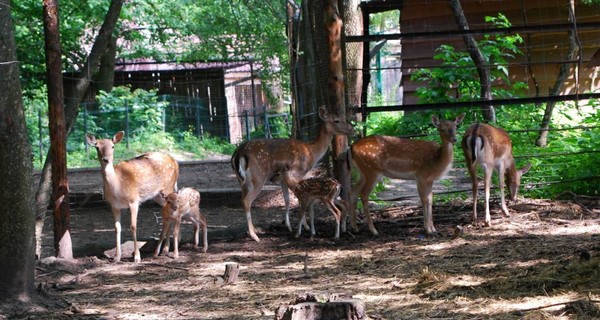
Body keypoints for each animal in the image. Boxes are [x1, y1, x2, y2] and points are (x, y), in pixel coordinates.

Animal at [85, 131, 178, 262]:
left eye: (112, 146)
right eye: (97, 147)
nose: (106, 159)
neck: (117, 187)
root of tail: (175, 161)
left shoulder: (134, 200)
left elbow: (133, 226)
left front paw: (137, 257)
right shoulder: (114, 205)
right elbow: (117, 228)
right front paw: (116, 257)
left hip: (168, 188)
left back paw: (163, 250)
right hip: (157, 196)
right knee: (167, 215)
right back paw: (165, 249)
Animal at [231, 106, 354, 241]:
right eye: (337, 120)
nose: (352, 130)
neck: (312, 152)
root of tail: (238, 154)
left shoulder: (282, 178)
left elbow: (287, 200)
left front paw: (289, 226)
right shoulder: (299, 173)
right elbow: (299, 199)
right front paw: (306, 227)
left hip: (241, 180)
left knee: (242, 199)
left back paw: (254, 230)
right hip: (258, 176)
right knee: (247, 201)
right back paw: (255, 236)